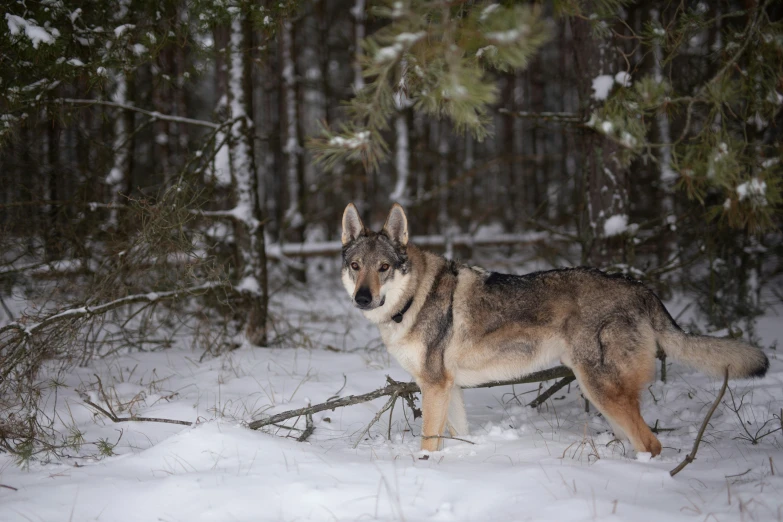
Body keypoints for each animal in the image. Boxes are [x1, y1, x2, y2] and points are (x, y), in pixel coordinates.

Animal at [344, 201, 772, 452]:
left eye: (384, 267)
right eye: (356, 266)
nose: (362, 298)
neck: (411, 301)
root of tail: (638, 287)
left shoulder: (433, 387)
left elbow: (428, 445)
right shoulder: (449, 388)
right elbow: (459, 434)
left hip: (599, 387)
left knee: (651, 443)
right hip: (599, 393)